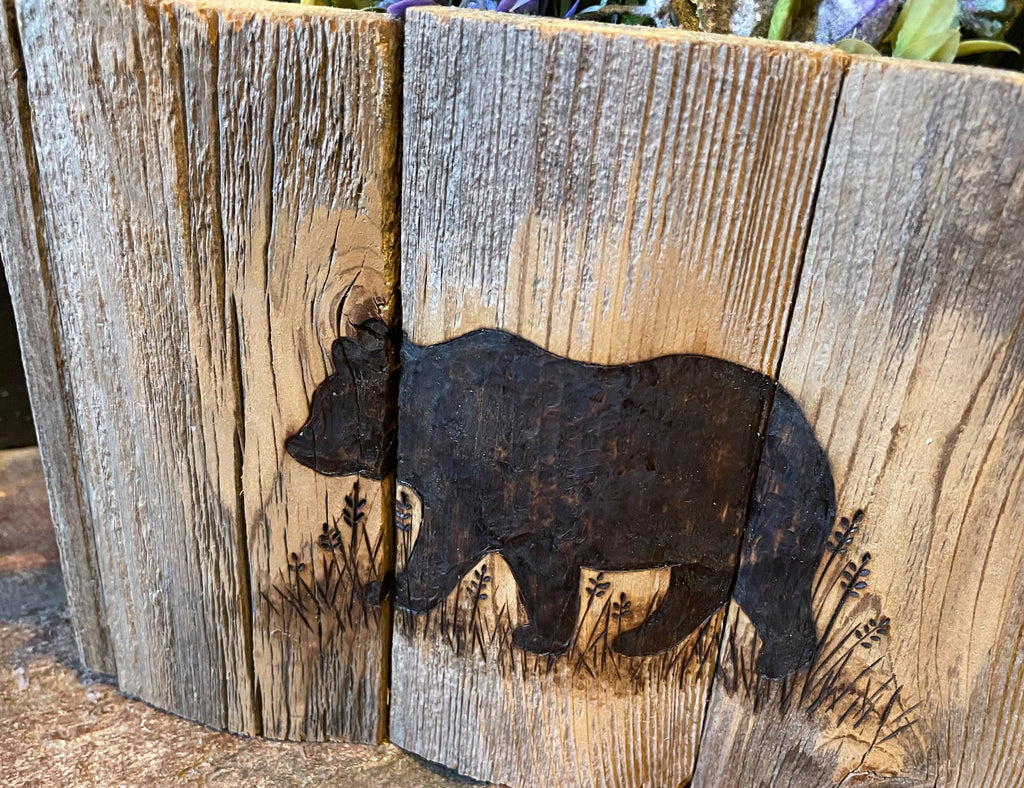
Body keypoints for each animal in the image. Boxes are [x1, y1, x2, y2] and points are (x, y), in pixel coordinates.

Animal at [285, 318, 836, 680]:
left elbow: (444, 544)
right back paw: (635, 640)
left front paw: (388, 588)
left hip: (761, 507)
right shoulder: (527, 521)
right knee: (697, 587)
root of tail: (816, 448)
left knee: (770, 586)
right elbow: (543, 575)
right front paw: (538, 635)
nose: (294, 441)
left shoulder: (481, 478)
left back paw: (777, 663)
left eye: (323, 402)